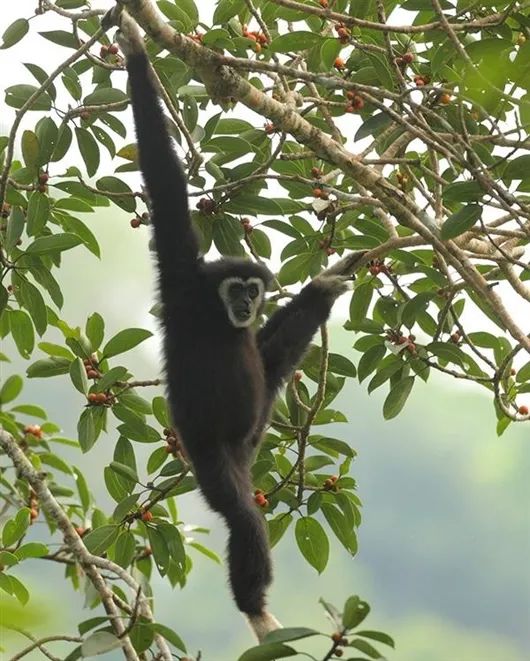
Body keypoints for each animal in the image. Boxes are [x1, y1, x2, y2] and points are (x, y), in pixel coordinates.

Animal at [111, 6, 365, 642]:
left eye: (255, 289)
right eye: (238, 287)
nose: (248, 302)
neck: (217, 316)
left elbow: (269, 353)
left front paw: (324, 285)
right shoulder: (180, 279)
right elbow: (165, 184)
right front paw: (135, 51)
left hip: (251, 440)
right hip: (213, 453)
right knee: (243, 518)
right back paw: (255, 607)